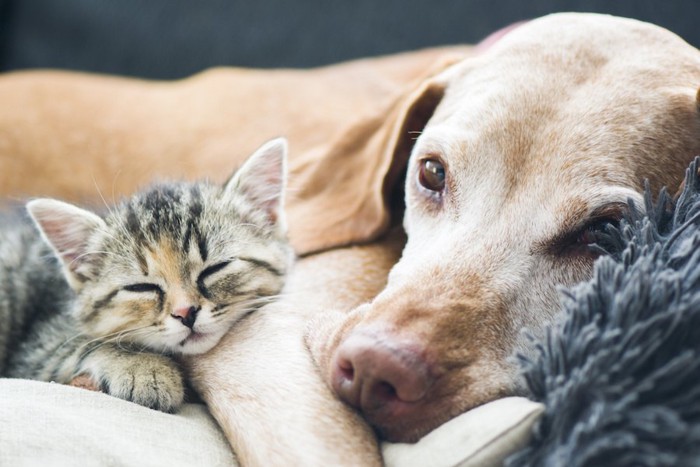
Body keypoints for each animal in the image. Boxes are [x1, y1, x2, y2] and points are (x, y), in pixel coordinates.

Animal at [0, 138, 292, 414]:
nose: (185, 313)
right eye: (141, 287)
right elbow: (86, 343)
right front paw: (144, 369)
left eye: (215, 269)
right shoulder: (35, 350)